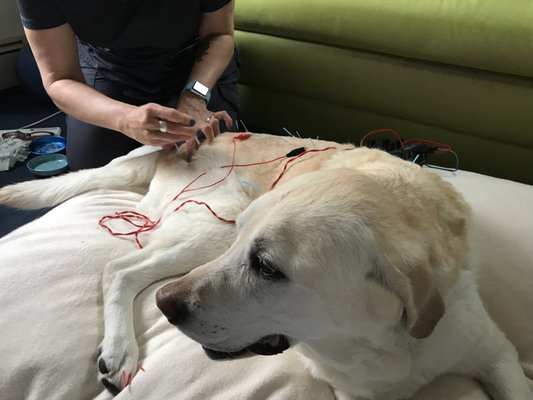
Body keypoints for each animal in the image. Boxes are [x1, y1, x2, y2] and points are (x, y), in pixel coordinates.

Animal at [1, 134, 528, 400]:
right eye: (245, 243)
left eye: (267, 267)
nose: (166, 306)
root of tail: (169, 148)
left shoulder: (495, 352)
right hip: (210, 225)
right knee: (120, 270)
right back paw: (119, 350)